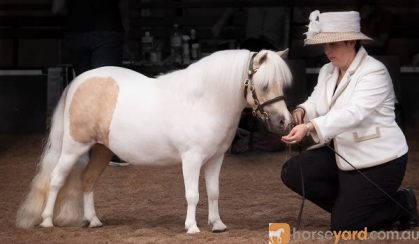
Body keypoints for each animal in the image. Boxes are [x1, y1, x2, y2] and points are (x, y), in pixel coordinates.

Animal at [16, 48, 292, 234]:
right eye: (264, 85)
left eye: (282, 84)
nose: (284, 122)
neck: (204, 101)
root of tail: (78, 81)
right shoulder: (191, 159)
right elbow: (193, 194)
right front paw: (192, 227)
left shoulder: (215, 159)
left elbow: (213, 192)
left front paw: (218, 224)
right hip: (74, 148)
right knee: (56, 179)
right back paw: (47, 220)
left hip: (101, 151)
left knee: (88, 180)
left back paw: (93, 221)